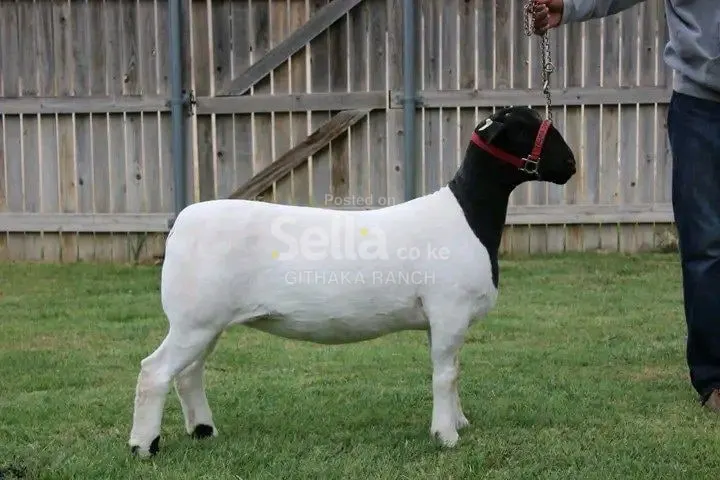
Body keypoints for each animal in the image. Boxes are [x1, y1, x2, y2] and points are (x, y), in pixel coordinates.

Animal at [128, 106, 577, 457]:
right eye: (526, 127)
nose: (571, 165)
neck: (467, 213)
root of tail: (181, 222)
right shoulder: (449, 310)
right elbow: (445, 374)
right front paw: (446, 436)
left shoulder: (439, 318)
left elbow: (453, 370)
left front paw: (459, 421)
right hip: (195, 319)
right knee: (154, 371)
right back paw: (144, 446)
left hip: (206, 321)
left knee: (189, 374)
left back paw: (203, 431)